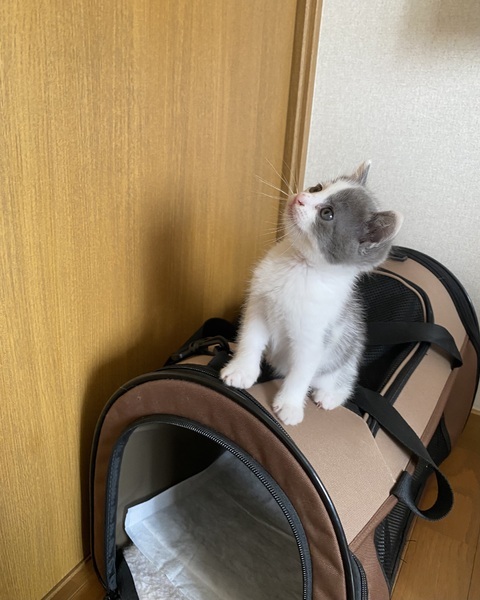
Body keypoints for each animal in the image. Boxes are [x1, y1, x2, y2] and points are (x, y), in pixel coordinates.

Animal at [220, 161, 403, 426]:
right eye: (317, 187)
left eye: (327, 213)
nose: (300, 197)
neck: (298, 266)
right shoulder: (258, 306)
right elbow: (251, 338)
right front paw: (241, 370)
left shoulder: (314, 336)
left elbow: (301, 371)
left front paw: (290, 405)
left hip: (346, 353)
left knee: (341, 375)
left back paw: (331, 394)